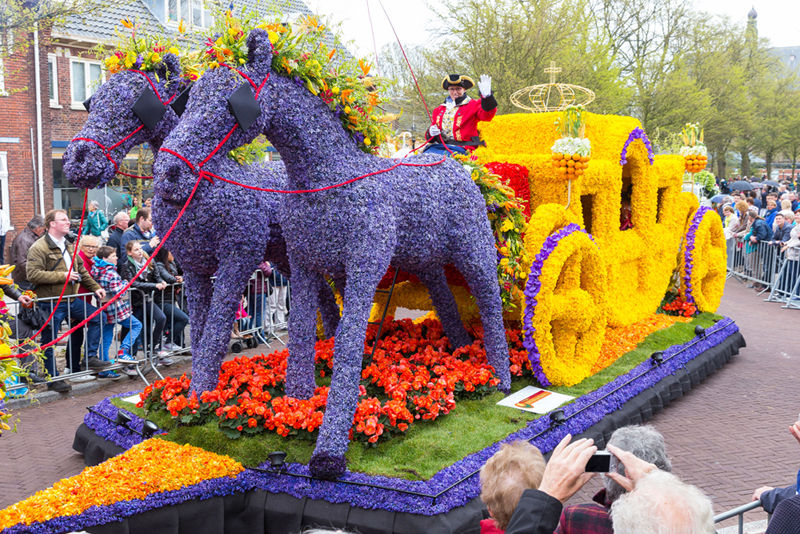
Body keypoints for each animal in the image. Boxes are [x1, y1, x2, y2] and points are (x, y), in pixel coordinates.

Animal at [61, 55, 338, 394]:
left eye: (131, 105)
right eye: (94, 102)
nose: (77, 160)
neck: (200, 186)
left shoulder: (238, 256)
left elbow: (215, 331)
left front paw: (202, 393)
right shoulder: (194, 264)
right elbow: (203, 330)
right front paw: (200, 393)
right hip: (287, 256)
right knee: (324, 297)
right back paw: (327, 351)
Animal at [158, 31, 512, 480]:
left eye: (229, 102)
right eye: (188, 100)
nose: (169, 171)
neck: (326, 181)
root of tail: (455, 164)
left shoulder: (363, 268)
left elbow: (345, 342)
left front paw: (329, 450)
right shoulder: (305, 265)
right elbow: (303, 335)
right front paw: (296, 404)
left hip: (474, 251)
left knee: (490, 300)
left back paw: (499, 377)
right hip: (427, 259)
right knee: (445, 298)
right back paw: (461, 351)